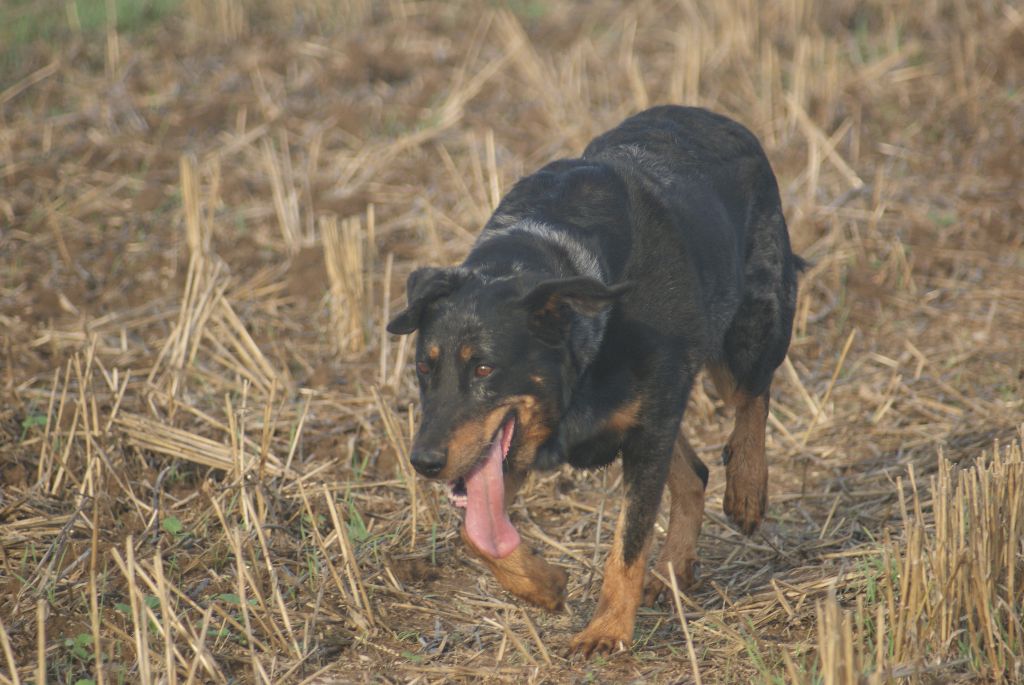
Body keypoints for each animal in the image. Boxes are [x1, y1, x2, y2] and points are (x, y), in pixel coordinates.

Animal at [385, 104, 798, 655]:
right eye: (424, 368)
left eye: (484, 368)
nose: (424, 462)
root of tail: (716, 117)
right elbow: (477, 534)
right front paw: (545, 585)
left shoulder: (646, 427)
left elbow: (628, 541)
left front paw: (606, 631)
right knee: (693, 473)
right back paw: (672, 570)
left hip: (748, 328)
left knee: (752, 394)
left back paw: (747, 488)